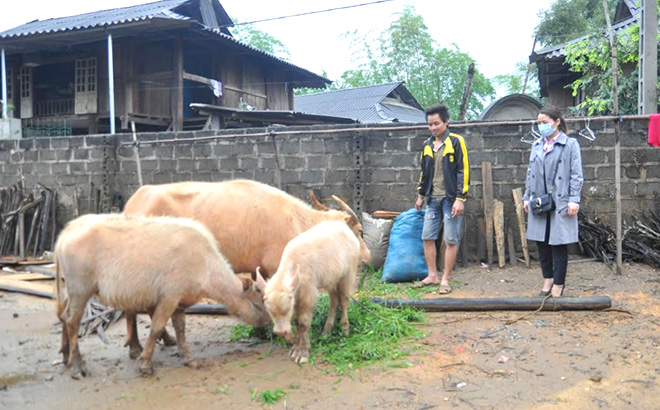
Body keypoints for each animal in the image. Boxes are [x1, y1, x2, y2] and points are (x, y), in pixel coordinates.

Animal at [54, 215, 270, 378]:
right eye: (261, 302)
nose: (270, 324)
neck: (204, 263)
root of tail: (67, 231)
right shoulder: (169, 297)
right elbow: (157, 327)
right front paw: (145, 363)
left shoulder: (180, 302)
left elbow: (180, 328)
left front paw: (188, 357)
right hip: (81, 289)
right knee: (73, 321)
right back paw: (77, 366)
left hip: (70, 290)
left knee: (64, 316)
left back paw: (65, 355)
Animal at [256, 221, 366, 362]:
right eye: (269, 311)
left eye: (287, 309)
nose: (281, 332)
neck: (295, 267)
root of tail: (345, 228)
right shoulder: (297, 297)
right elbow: (297, 322)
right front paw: (295, 349)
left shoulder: (307, 295)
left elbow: (303, 323)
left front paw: (303, 353)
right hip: (331, 279)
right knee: (334, 301)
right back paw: (326, 331)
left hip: (347, 275)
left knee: (344, 300)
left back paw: (345, 329)